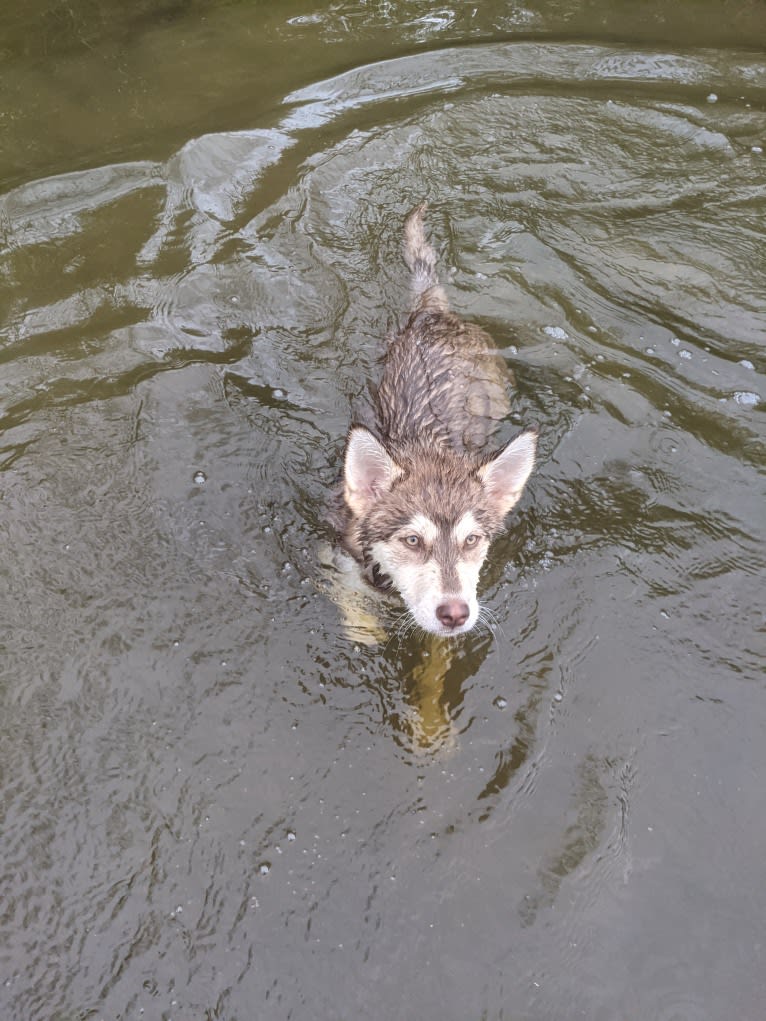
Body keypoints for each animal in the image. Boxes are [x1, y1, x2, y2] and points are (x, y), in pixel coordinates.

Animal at [330, 205, 539, 637]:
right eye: (412, 541)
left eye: (472, 540)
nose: (455, 613)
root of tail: (432, 312)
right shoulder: (340, 550)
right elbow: (350, 597)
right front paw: (365, 629)